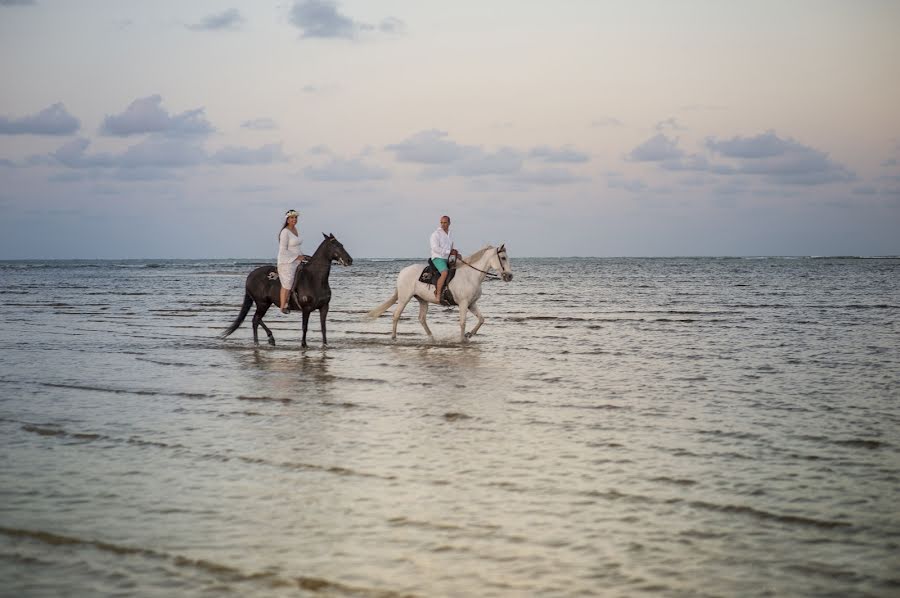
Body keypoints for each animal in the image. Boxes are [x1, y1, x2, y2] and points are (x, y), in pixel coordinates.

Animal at [221, 233, 352, 346]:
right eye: (336, 245)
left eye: (342, 245)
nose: (349, 260)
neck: (314, 278)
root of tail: (250, 276)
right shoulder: (306, 309)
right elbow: (304, 327)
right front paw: (304, 345)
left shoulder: (324, 307)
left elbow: (323, 327)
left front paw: (325, 344)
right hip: (262, 303)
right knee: (256, 320)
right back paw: (259, 342)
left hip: (265, 303)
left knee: (257, 319)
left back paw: (269, 338)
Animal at [370, 246, 512, 342]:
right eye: (503, 258)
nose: (510, 276)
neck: (471, 276)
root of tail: (403, 272)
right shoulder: (463, 304)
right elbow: (463, 322)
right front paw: (462, 339)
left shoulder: (471, 304)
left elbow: (481, 319)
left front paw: (469, 335)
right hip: (404, 298)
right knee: (396, 315)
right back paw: (394, 337)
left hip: (422, 300)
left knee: (421, 318)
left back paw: (431, 337)